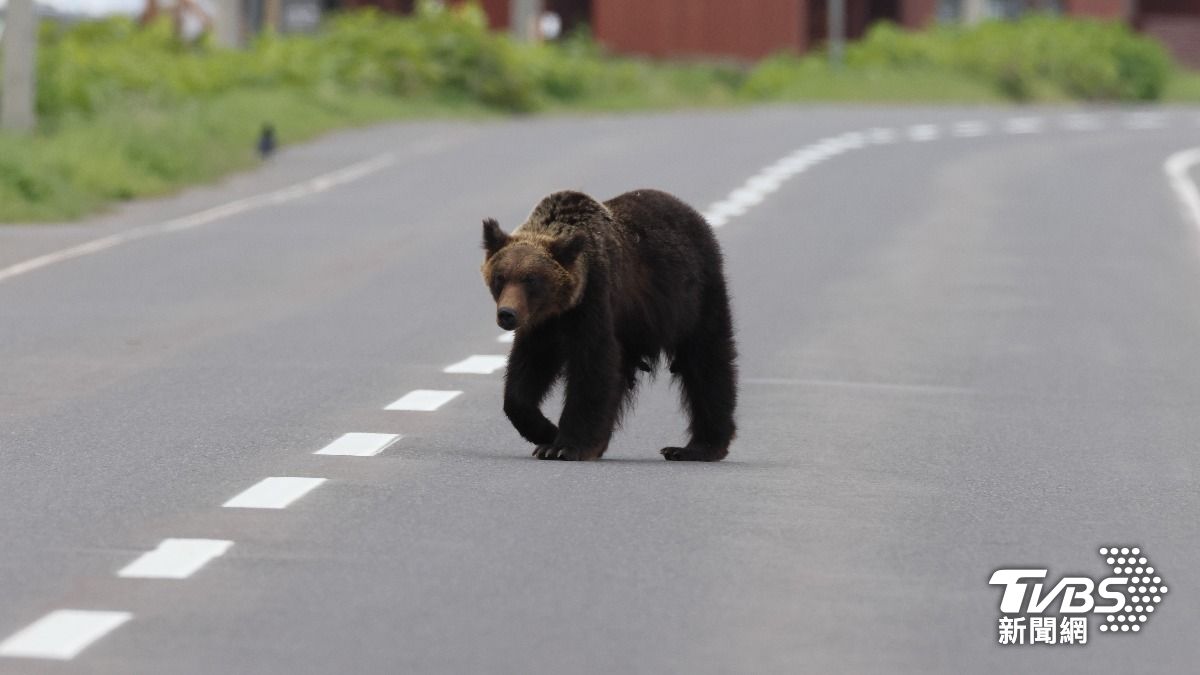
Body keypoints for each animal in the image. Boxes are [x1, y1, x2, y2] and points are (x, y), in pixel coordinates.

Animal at [479, 189, 737, 461]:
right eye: (500, 277)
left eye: (531, 280)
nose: (507, 314)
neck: (562, 307)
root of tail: (690, 211)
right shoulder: (542, 325)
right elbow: (526, 372)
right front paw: (545, 432)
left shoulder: (595, 300)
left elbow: (593, 366)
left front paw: (563, 445)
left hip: (695, 298)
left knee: (707, 363)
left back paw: (697, 447)